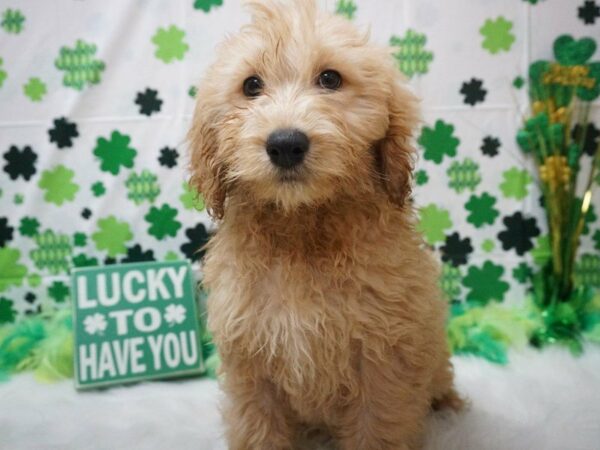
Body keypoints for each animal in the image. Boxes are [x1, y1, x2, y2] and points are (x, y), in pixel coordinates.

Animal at [190, 1, 462, 448]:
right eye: (251, 86)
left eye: (330, 79)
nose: (285, 144)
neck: (302, 229)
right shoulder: (251, 359)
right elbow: (259, 428)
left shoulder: (383, 358)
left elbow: (376, 430)